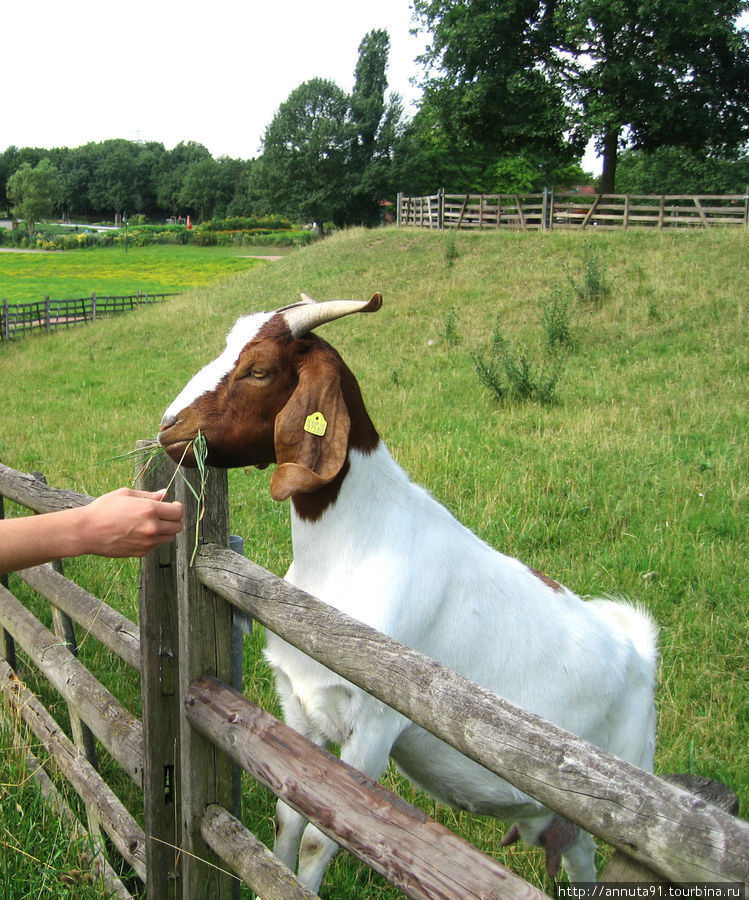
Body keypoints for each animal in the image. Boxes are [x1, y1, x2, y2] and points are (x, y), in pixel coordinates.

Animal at [156, 294, 656, 884]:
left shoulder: (374, 724)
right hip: (554, 818)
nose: (168, 427)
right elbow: (287, 815)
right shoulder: (299, 708)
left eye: (258, 369)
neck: (350, 550)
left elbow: (322, 838)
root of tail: (637, 651)